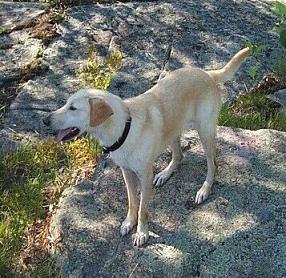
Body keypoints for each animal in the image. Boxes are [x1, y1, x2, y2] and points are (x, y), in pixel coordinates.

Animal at [43, 47, 250, 245]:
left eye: (73, 108)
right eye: (65, 104)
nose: (45, 120)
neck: (124, 127)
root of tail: (207, 73)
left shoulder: (144, 175)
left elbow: (143, 208)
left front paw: (142, 232)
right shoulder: (127, 173)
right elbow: (132, 202)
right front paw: (129, 222)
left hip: (205, 132)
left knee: (212, 164)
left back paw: (204, 190)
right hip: (173, 128)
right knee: (178, 156)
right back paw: (165, 174)